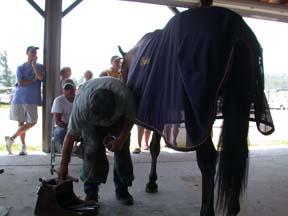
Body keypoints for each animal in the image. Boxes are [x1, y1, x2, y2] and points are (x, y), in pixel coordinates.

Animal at [120, 5, 274, 216]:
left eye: (120, 70)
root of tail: (236, 31)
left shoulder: (159, 114)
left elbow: (154, 147)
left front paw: (151, 182)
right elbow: (155, 147)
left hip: (198, 116)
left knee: (208, 159)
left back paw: (206, 211)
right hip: (235, 109)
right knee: (237, 158)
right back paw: (232, 208)